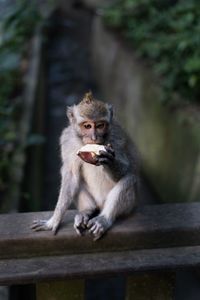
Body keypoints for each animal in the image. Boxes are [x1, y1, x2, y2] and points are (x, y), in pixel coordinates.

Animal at [31, 91, 139, 241]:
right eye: (87, 126)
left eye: (100, 125)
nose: (94, 138)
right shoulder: (67, 139)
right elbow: (71, 175)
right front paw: (53, 221)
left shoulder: (117, 138)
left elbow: (128, 170)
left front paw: (109, 161)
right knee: (74, 178)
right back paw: (86, 211)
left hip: (129, 205)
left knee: (129, 179)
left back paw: (104, 219)